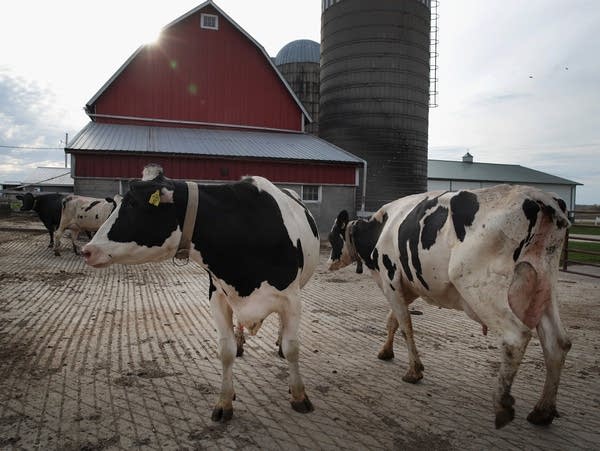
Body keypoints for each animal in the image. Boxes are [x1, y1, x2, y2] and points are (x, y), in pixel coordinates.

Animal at [83, 167, 324, 424]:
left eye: (133, 204)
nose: (87, 250)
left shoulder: (292, 299)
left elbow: (292, 348)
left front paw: (299, 395)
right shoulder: (217, 296)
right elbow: (225, 351)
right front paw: (224, 401)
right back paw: (241, 342)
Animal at [328, 185, 572, 430]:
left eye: (331, 238)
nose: (329, 262)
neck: (381, 228)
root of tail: (537, 195)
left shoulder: (390, 281)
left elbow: (405, 325)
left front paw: (414, 371)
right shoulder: (408, 287)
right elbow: (393, 320)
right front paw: (386, 352)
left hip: (477, 284)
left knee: (516, 336)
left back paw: (502, 406)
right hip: (543, 286)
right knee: (558, 343)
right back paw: (542, 412)